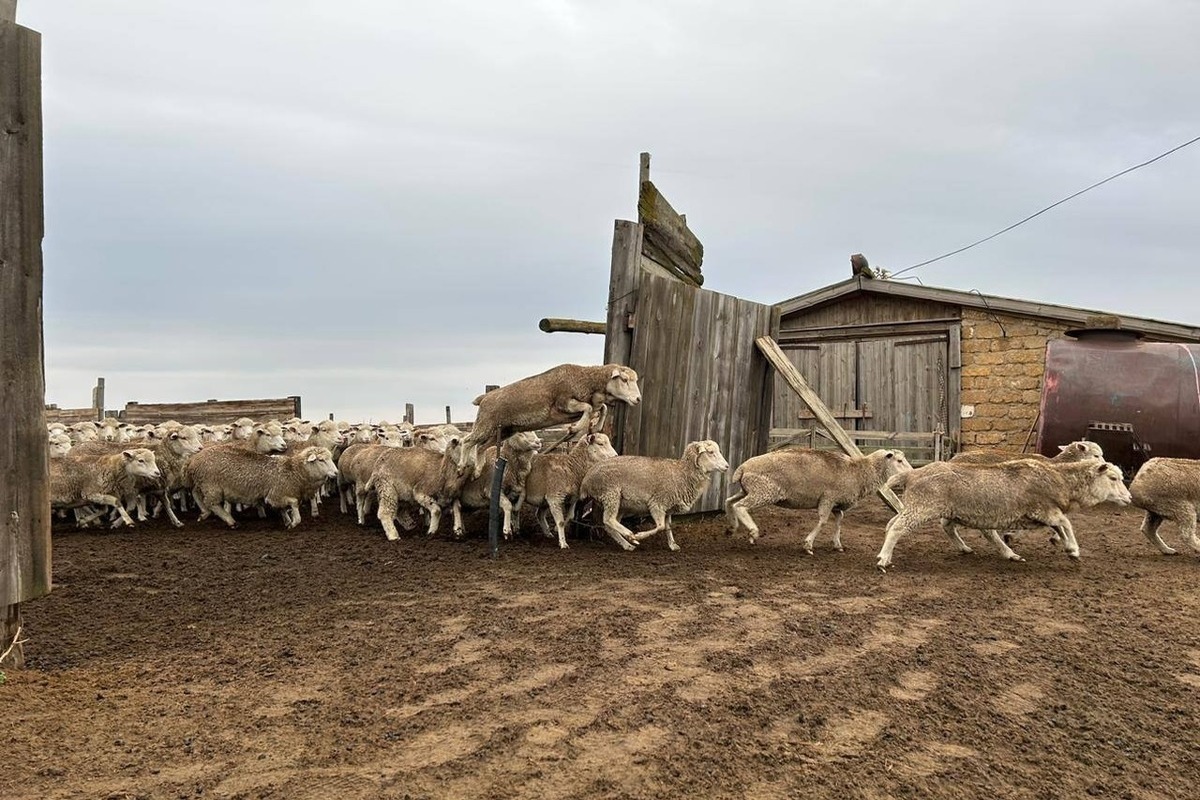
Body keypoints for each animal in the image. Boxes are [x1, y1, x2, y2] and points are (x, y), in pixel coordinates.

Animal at [187, 448, 338, 527]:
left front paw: (287, 521)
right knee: (211, 504)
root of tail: (193, 460)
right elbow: (294, 504)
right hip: (211, 486)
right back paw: (230, 521)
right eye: (321, 460)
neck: (293, 471)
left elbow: (282, 509)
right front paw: (294, 522)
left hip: (203, 484)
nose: (336, 473)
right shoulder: (276, 495)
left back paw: (204, 514)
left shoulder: (277, 497)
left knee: (196, 494)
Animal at [458, 364, 643, 472]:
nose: (638, 399)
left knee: (480, 447)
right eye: (624, 379)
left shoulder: (575, 409)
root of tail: (484, 398)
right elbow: (588, 408)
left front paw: (595, 427)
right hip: (485, 424)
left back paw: (478, 469)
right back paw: (461, 466)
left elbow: (601, 408)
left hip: (504, 430)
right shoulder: (564, 403)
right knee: (467, 441)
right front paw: (575, 428)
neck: (587, 381)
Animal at [576, 441, 724, 554]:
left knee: (609, 525)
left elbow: (668, 526)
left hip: (620, 503)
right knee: (609, 520)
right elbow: (661, 527)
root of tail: (586, 480)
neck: (682, 473)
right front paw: (639, 536)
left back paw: (627, 544)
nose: (727, 466)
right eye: (711, 452)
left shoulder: (668, 508)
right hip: (610, 494)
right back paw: (630, 535)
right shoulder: (657, 503)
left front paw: (673, 545)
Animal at [724, 450, 912, 556]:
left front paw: (837, 544)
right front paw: (808, 545)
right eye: (899, 461)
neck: (860, 471)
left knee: (729, 501)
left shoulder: (837, 503)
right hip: (764, 492)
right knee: (740, 506)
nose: (912, 472)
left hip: (748, 490)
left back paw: (731, 527)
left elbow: (838, 521)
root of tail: (742, 468)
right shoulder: (828, 498)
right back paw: (753, 532)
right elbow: (822, 521)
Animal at [878, 455, 1128, 568]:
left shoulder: (1043, 514)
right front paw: (1073, 549)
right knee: (898, 527)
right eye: (1113, 478)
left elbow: (1059, 527)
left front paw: (1066, 546)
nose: (1129, 497)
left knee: (937, 527)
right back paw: (884, 559)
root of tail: (912, 474)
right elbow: (1066, 523)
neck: (1061, 480)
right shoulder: (1043, 509)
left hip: (942, 509)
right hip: (923, 507)